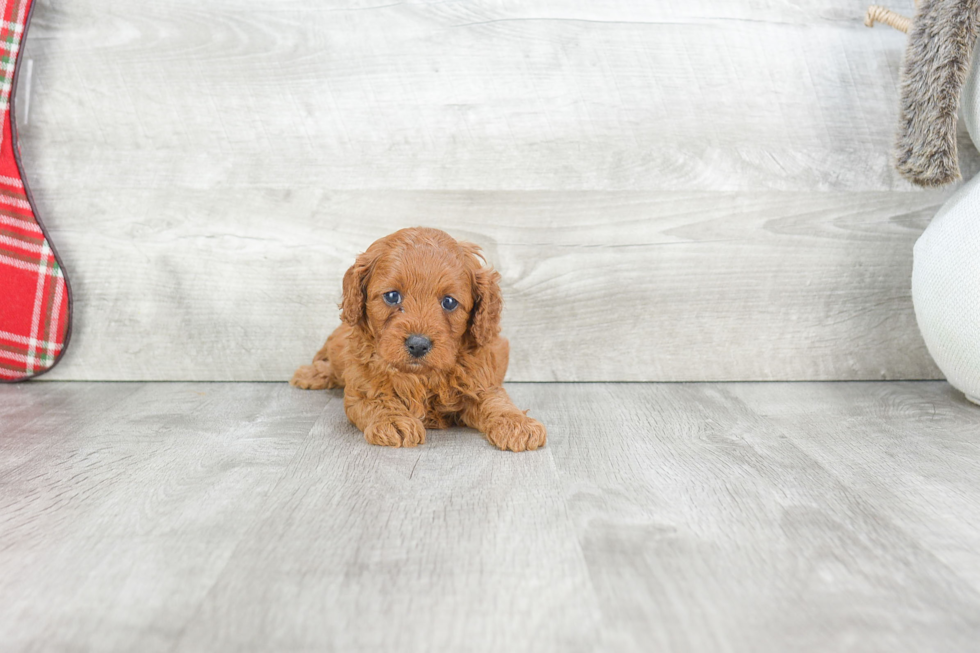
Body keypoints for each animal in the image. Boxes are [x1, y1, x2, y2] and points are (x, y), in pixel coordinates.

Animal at [294, 227, 548, 450]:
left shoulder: (482, 380)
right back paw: (310, 374)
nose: (418, 345)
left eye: (449, 302)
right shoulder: (362, 387)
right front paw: (394, 421)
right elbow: (377, 399)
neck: (422, 377)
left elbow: (496, 401)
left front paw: (517, 424)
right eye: (392, 296)